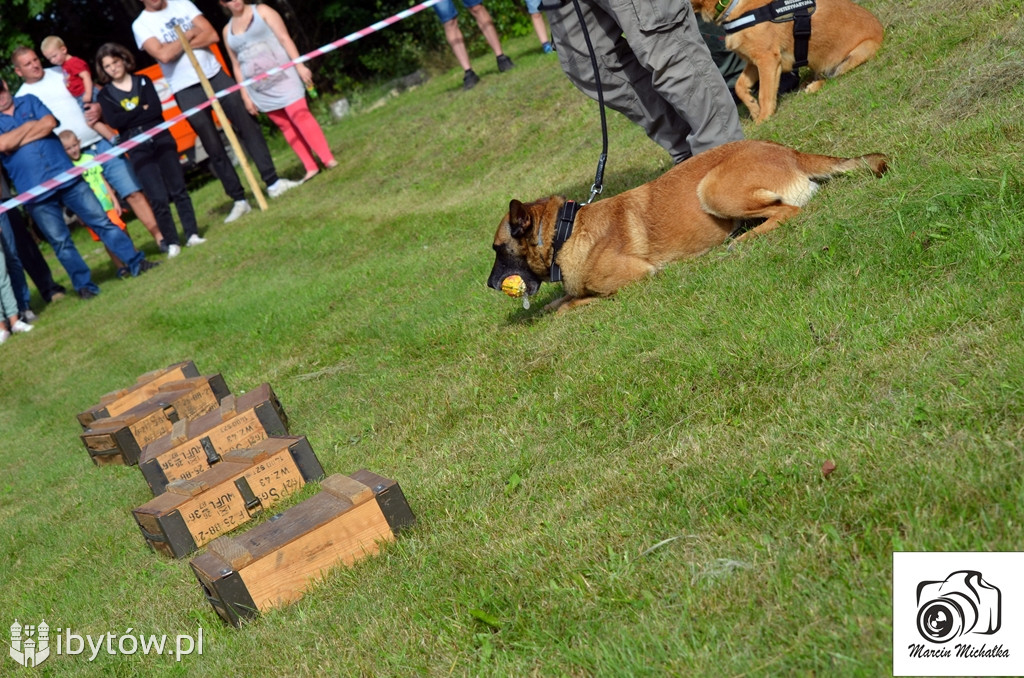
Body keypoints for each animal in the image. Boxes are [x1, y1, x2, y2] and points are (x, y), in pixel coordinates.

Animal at [487, 142, 888, 315]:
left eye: (497, 249)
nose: (489, 285)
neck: (565, 232)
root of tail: (788, 151)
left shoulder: (637, 278)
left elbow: (571, 303)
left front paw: (564, 306)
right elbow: (560, 299)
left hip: (712, 189)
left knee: (788, 211)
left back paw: (744, 240)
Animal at [692, 0, 884, 123]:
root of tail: (882, 31)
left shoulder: (767, 60)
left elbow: (765, 94)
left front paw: (763, 118)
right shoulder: (754, 62)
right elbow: (739, 86)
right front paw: (753, 109)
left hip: (856, 54)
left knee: (832, 77)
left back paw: (813, 86)